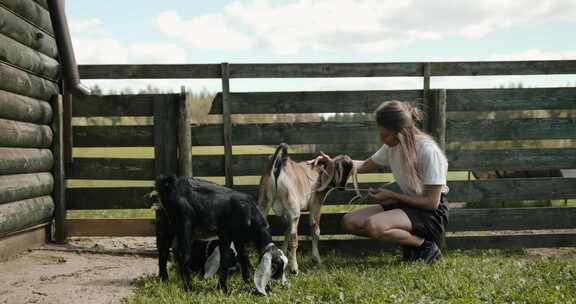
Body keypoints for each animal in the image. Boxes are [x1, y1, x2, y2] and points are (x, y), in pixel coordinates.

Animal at [155, 175, 288, 296]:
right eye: (276, 265)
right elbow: (225, 259)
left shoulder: (239, 238)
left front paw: (248, 281)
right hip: (184, 223)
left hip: (165, 223)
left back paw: (164, 280)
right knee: (182, 254)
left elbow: (244, 257)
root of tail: (171, 183)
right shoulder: (225, 233)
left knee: (162, 251)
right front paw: (223, 288)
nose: (283, 285)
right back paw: (190, 288)